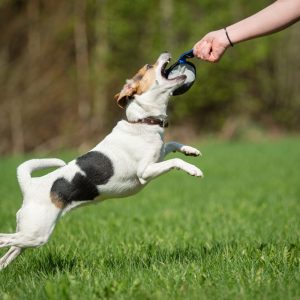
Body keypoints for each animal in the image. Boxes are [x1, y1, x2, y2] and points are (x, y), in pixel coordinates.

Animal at [0, 52, 203, 270]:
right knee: (5, 239)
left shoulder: (158, 155)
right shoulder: (146, 171)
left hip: (29, 235)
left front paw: (191, 150)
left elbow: (172, 144)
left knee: (8, 254)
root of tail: (30, 185)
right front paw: (193, 169)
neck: (143, 121)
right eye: (149, 66)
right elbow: (176, 162)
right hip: (37, 233)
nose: (166, 53)